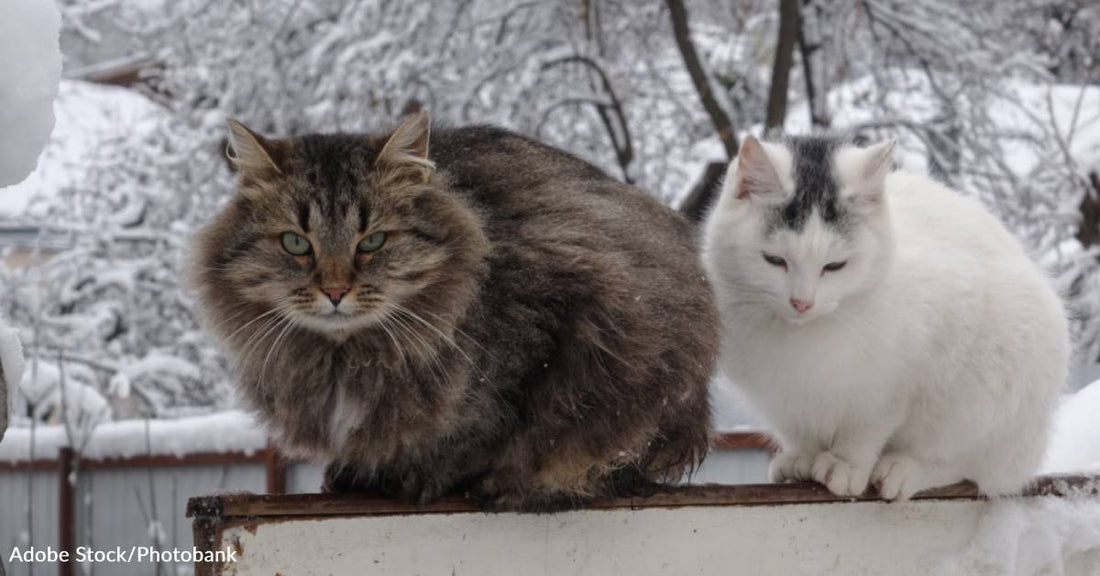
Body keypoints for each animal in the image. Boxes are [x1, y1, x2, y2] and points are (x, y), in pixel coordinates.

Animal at [193, 110, 717, 510]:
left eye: (373, 242)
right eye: (296, 244)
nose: (336, 291)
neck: (349, 355)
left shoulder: (539, 342)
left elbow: (476, 436)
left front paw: (416, 478)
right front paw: (353, 472)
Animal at [699, 135, 1069, 499]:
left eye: (835, 266)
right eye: (774, 260)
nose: (801, 302)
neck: (802, 334)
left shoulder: (898, 382)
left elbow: (867, 427)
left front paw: (845, 464)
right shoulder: (782, 397)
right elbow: (798, 430)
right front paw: (802, 457)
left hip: (987, 399)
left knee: (970, 468)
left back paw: (904, 469)